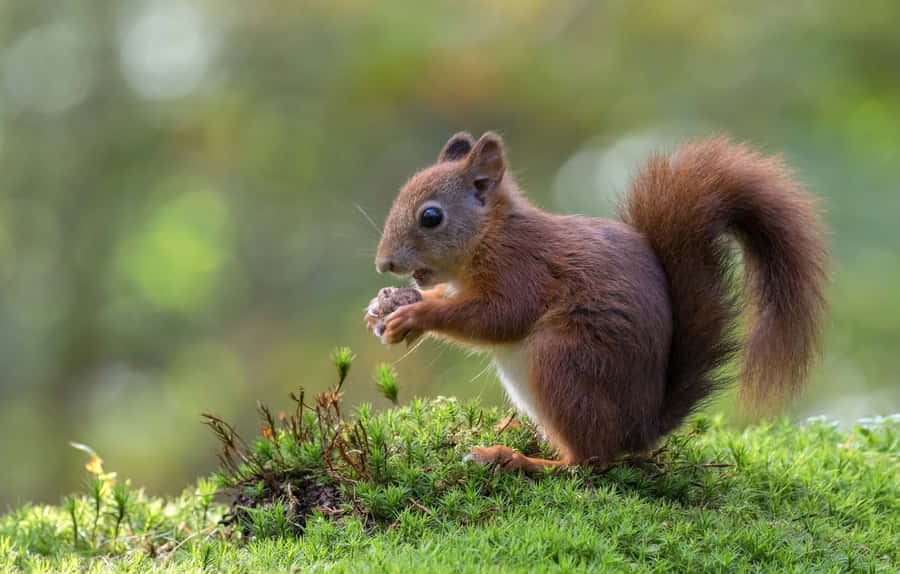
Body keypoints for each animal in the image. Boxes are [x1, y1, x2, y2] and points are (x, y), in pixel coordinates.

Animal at [364, 133, 824, 474]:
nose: (383, 264)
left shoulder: (523, 268)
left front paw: (416, 314)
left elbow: (501, 317)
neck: (490, 234)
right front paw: (385, 306)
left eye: (431, 217)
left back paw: (517, 459)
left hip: (561, 360)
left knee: (589, 459)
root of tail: (641, 427)